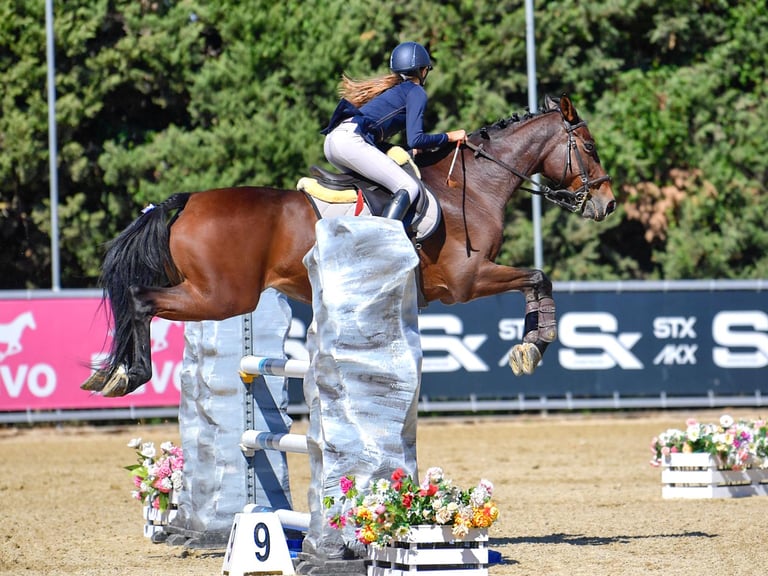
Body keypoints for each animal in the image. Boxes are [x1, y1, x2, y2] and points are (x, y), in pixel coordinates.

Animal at [82, 94, 615, 397]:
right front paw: (534, 347)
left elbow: (536, 281)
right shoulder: (467, 280)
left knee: (140, 301)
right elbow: (539, 277)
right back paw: (129, 375)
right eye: (589, 148)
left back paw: (111, 375)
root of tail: (187, 201)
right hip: (222, 296)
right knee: (141, 300)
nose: (606, 203)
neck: (474, 185)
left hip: (211, 293)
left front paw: (530, 346)